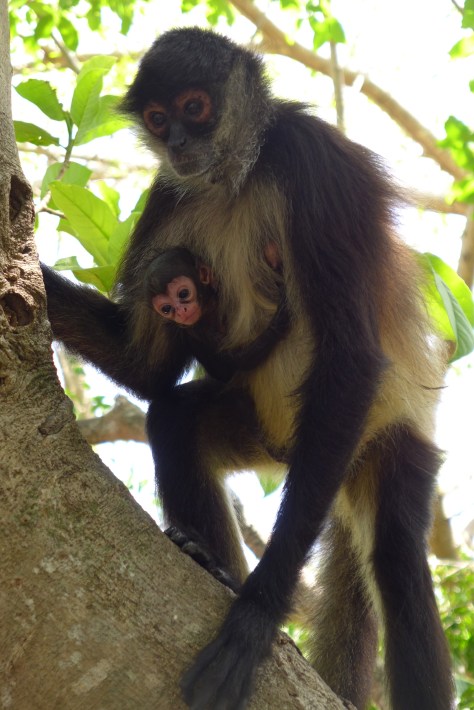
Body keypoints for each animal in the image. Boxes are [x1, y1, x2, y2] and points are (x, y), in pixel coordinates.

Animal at [40, 27, 454, 710]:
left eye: (196, 107)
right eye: (158, 119)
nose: (179, 143)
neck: (238, 177)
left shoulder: (310, 159)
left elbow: (351, 355)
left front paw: (260, 610)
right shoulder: (170, 194)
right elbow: (148, 372)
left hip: (373, 435)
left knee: (396, 556)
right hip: (266, 431)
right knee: (174, 418)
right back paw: (210, 566)